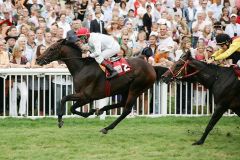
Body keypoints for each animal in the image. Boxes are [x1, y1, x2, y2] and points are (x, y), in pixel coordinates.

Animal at [36, 39, 167, 134]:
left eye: (52, 48)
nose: (38, 59)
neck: (82, 68)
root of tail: (152, 67)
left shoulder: (86, 96)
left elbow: (68, 103)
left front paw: (62, 121)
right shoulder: (84, 96)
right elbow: (67, 103)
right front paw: (92, 111)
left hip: (136, 88)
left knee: (126, 110)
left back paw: (106, 127)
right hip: (125, 89)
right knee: (121, 103)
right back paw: (101, 110)